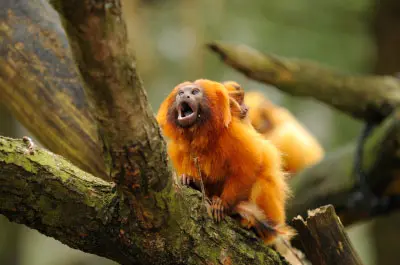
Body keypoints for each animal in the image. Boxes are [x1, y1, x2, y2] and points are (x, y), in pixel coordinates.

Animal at [156, 78, 294, 243]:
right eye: (180, 93)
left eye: (194, 92)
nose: (185, 96)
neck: (200, 135)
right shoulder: (177, 148)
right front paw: (191, 179)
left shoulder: (233, 134)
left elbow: (251, 165)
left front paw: (223, 204)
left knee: (265, 177)